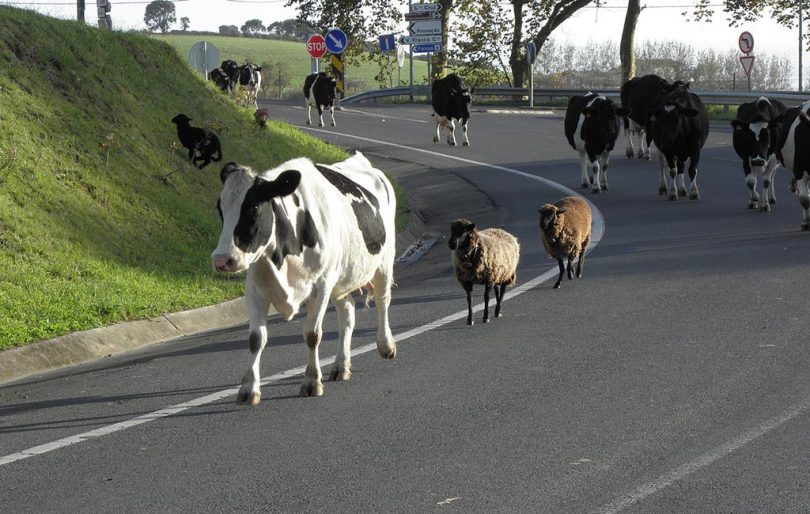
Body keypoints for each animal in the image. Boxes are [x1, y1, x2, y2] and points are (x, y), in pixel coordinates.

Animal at [210, 152, 396, 404]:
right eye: (220, 208)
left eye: (254, 207)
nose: (221, 259)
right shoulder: (255, 290)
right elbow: (256, 338)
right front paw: (249, 389)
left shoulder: (321, 286)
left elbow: (312, 334)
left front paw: (311, 381)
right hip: (341, 279)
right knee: (347, 313)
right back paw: (341, 365)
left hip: (384, 261)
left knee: (382, 301)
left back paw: (386, 345)